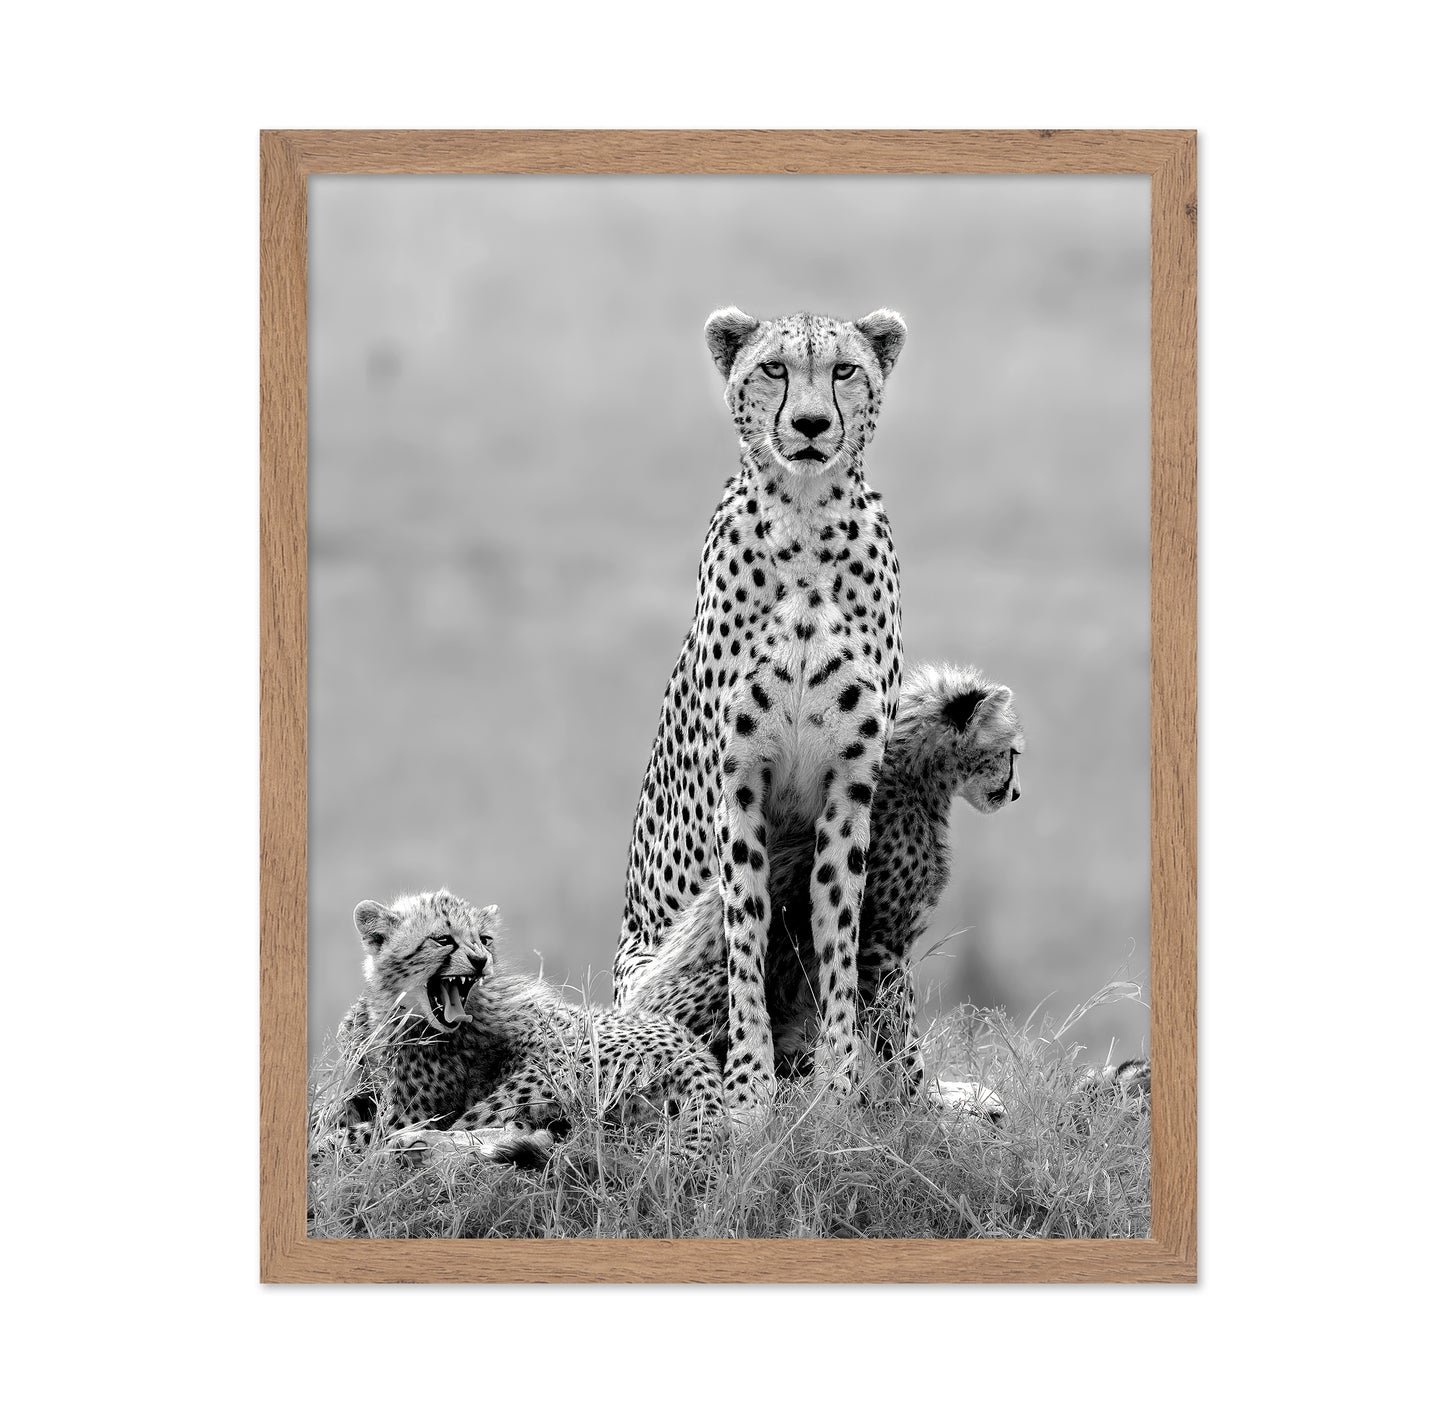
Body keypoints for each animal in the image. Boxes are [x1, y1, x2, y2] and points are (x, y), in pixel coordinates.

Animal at [309, 889, 724, 1168]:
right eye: (443, 939)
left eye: (484, 939)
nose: (480, 960)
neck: (392, 1012)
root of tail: (694, 1049)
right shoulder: (355, 1091)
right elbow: (326, 1114)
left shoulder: (407, 1113)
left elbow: (350, 1134)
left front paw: (327, 1145)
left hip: (540, 1075)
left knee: (488, 1126)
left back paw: (422, 1146)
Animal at [615, 306, 909, 1113]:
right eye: (773, 368)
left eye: (844, 370)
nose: (809, 425)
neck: (806, 527)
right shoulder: (739, 784)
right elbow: (744, 935)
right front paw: (750, 1089)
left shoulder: (850, 788)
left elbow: (836, 931)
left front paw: (837, 1087)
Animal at [623, 660, 1023, 1115]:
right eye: (1012, 753)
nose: (1016, 792)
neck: (915, 779)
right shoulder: (879, 952)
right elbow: (900, 1042)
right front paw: (923, 1107)